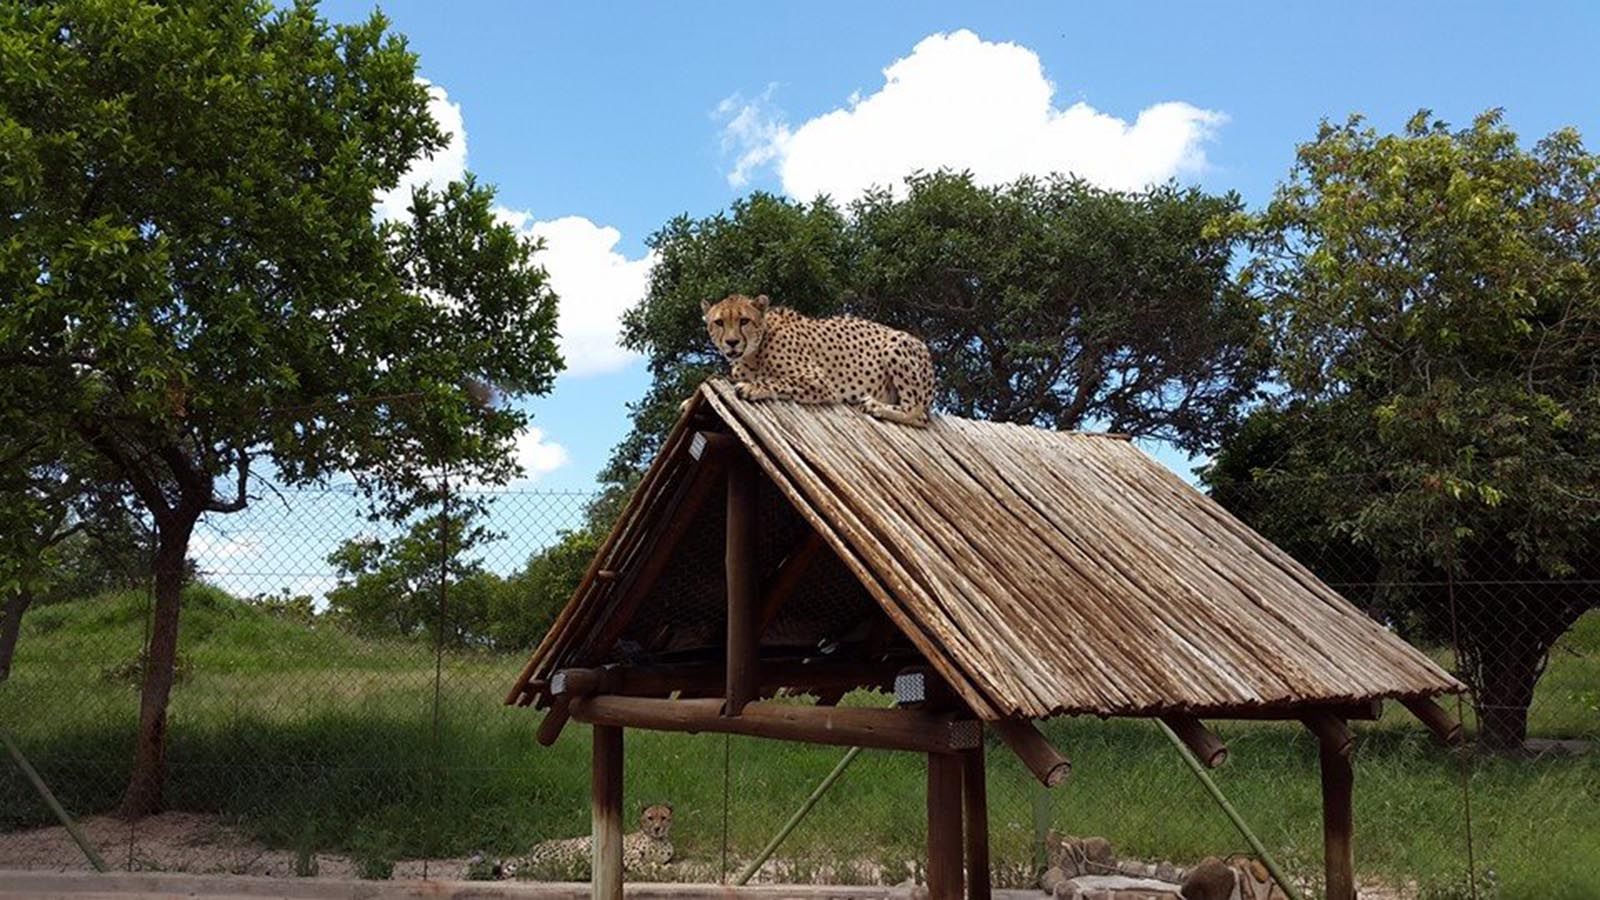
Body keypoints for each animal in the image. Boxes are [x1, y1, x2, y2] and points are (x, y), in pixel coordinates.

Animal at [502, 797, 672, 877]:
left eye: (663, 818)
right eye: (650, 818)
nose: (657, 828)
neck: (659, 840)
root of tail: (533, 849)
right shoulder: (627, 855)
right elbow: (643, 864)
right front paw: (657, 869)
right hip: (576, 849)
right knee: (551, 868)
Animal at [704, 291, 934, 422]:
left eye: (744, 321)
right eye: (719, 322)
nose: (731, 342)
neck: (753, 353)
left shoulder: (818, 380)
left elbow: (778, 381)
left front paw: (751, 387)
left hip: (895, 342)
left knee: (917, 412)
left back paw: (875, 405)